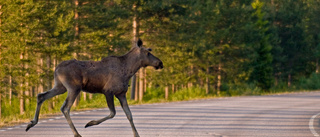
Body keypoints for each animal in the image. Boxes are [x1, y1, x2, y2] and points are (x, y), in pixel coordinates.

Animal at [25, 38, 162, 137]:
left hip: (60, 87)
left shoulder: (121, 93)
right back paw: (77, 134)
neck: (129, 71)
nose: (160, 63)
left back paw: (31, 123)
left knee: (41, 96)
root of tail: (56, 69)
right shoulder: (108, 91)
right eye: (148, 53)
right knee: (65, 108)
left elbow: (129, 115)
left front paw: (136, 135)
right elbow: (113, 113)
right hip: (74, 88)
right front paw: (90, 123)